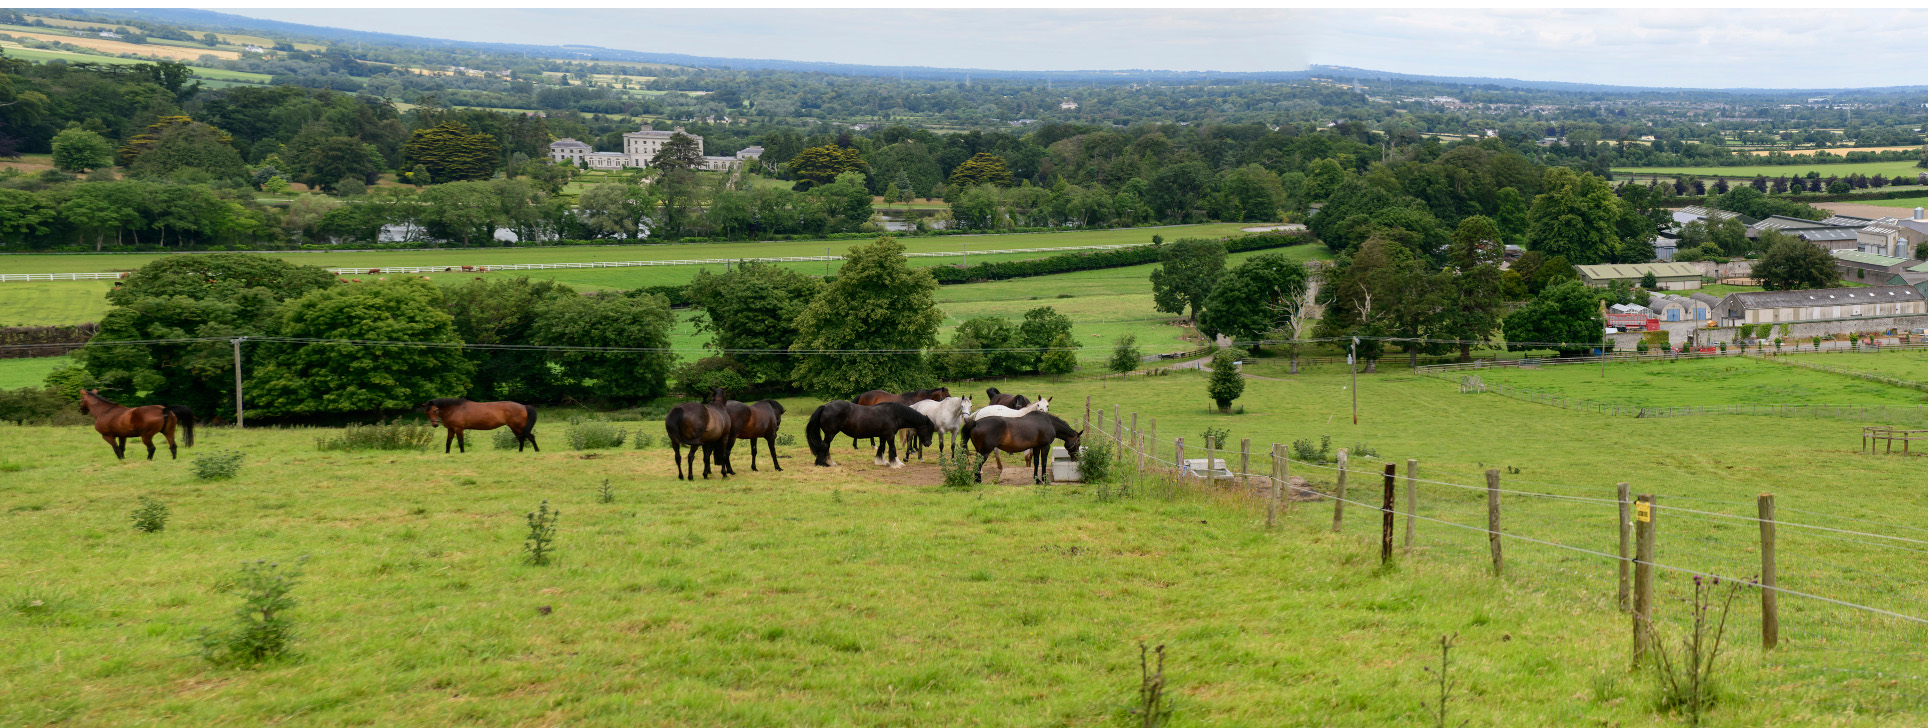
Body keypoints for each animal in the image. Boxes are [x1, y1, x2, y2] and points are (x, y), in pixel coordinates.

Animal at [805, 400, 933, 469]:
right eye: (929, 429)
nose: (928, 443)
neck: (894, 414)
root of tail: (825, 406)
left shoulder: (883, 436)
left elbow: (881, 448)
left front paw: (881, 461)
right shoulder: (890, 436)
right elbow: (892, 449)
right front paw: (897, 464)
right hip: (830, 434)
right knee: (825, 446)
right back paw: (823, 463)